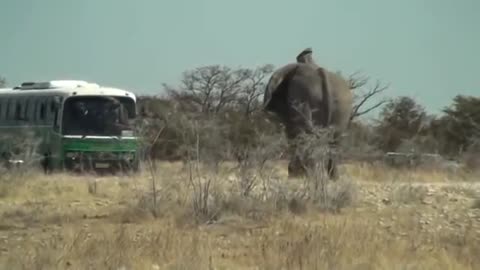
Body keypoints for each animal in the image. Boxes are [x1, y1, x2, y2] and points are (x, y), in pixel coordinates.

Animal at [262, 48, 352, 179]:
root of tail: (322, 74)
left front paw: (294, 173)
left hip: (304, 97)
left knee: (306, 136)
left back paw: (305, 174)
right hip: (342, 105)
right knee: (335, 139)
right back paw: (332, 178)